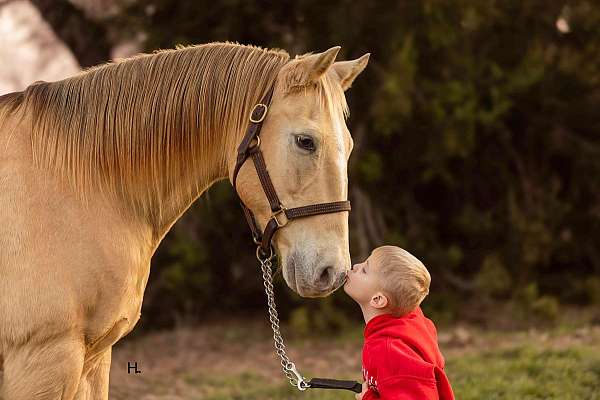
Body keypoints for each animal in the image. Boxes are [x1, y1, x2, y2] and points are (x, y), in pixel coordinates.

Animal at [0, 42, 368, 398]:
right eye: (306, 141)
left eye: (350, 146)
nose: (331, 272)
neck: (77, 183)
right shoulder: (44, 361)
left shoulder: (95, 361)